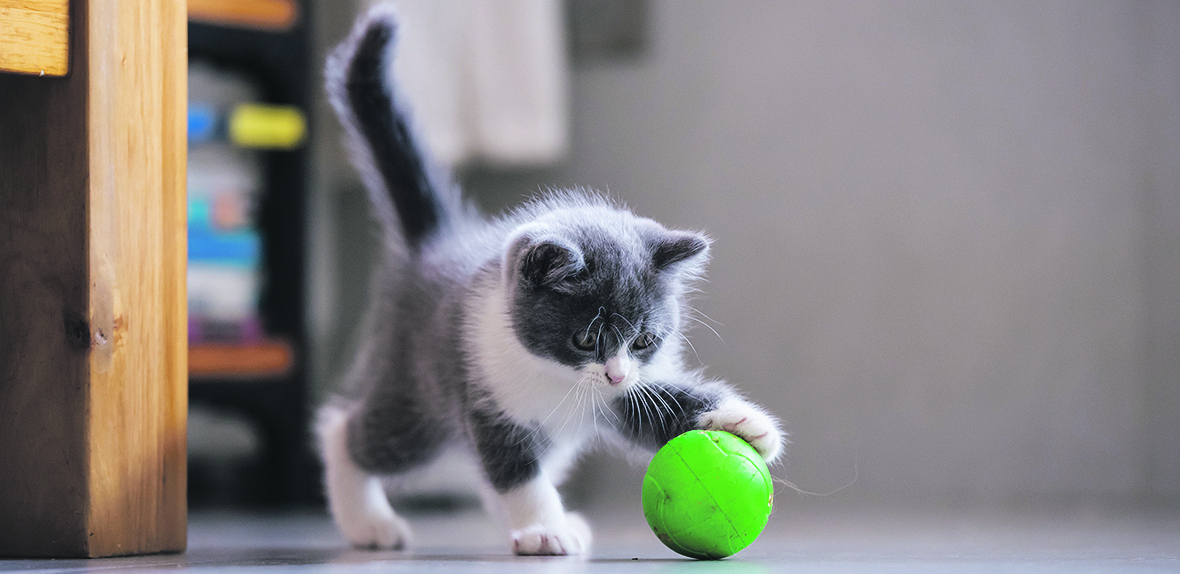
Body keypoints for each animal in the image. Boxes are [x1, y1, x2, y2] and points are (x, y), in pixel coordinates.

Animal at [318, 5, 788, 555]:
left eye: (644, 340)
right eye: (585, 339)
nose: (615, 374)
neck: (558, 379)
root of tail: (438, 243)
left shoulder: (626, 396)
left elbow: (660, 407)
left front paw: (746, 423)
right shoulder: (487, 395)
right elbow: (515, 468)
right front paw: (544, 527)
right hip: (417, 391)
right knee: (350, 431)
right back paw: (367, 520)